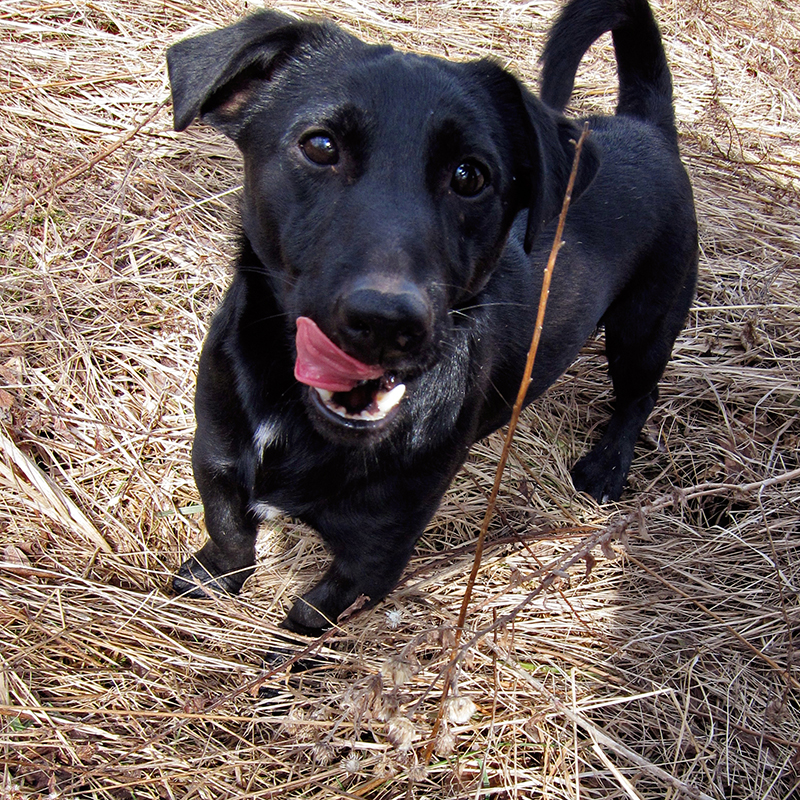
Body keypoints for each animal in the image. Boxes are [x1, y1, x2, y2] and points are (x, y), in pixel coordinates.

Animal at [167, 0, 692, 636]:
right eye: (320, 146)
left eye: (470, 175)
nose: (387, 322)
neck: (290, 412)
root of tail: (647, 128)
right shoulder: (216, 462)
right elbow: (230, 539)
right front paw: (209, 580)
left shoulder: (375, 555)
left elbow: (308, 623)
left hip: (644, 326)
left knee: (640, 395)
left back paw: (607, 465)